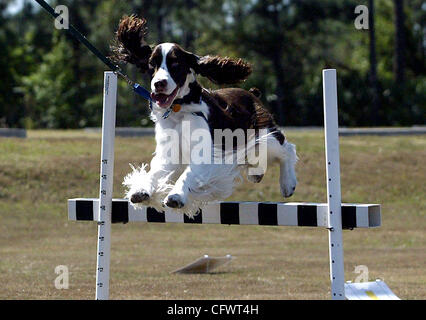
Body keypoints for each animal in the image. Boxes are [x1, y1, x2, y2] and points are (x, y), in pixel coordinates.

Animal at [112, 15, 296, 215]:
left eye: (175, 64)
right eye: (152, 64)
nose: (159, 83)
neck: (179, 109)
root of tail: (251, 93)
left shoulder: (206, 152)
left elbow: (187, 175)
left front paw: (176, 196)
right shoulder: (169, 151)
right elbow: (156, 171)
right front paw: (141, 190)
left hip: (263, 133)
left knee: (286, 148)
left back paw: (288, 184)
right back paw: (257, 173)